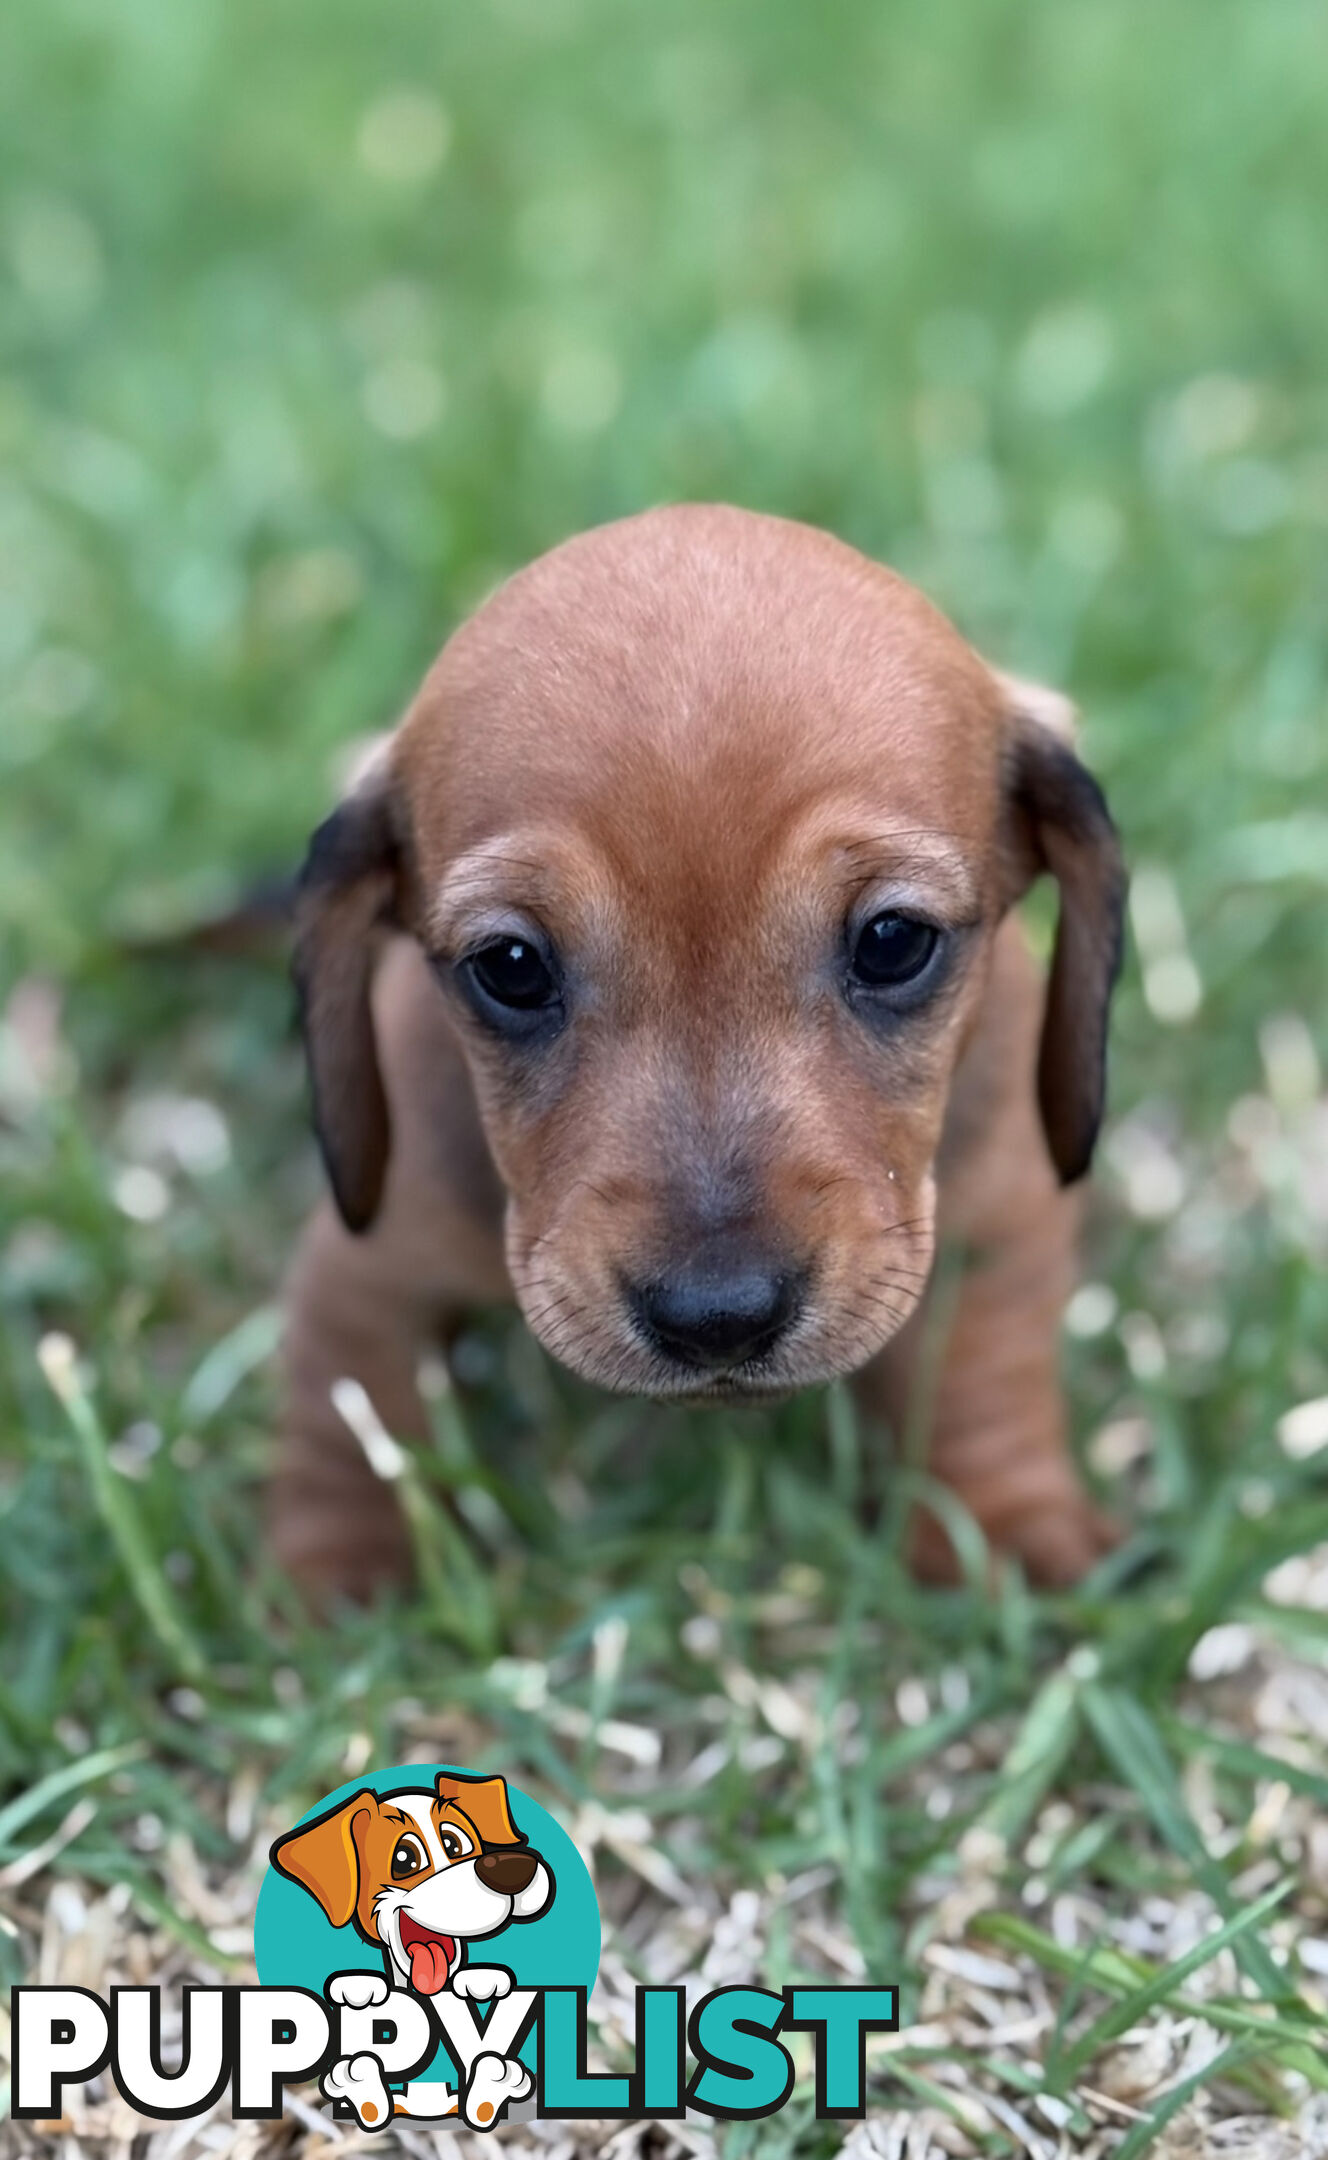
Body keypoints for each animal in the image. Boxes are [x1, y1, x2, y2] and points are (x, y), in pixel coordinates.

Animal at [275, 496, 1131, 1598]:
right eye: (510, 965)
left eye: (893, 941)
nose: (717, 1317)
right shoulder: (368, 1261)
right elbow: (350, 1405)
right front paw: (345, 1569)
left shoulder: (1002, 1220)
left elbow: (981, 1374)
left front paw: (1003, 1526)